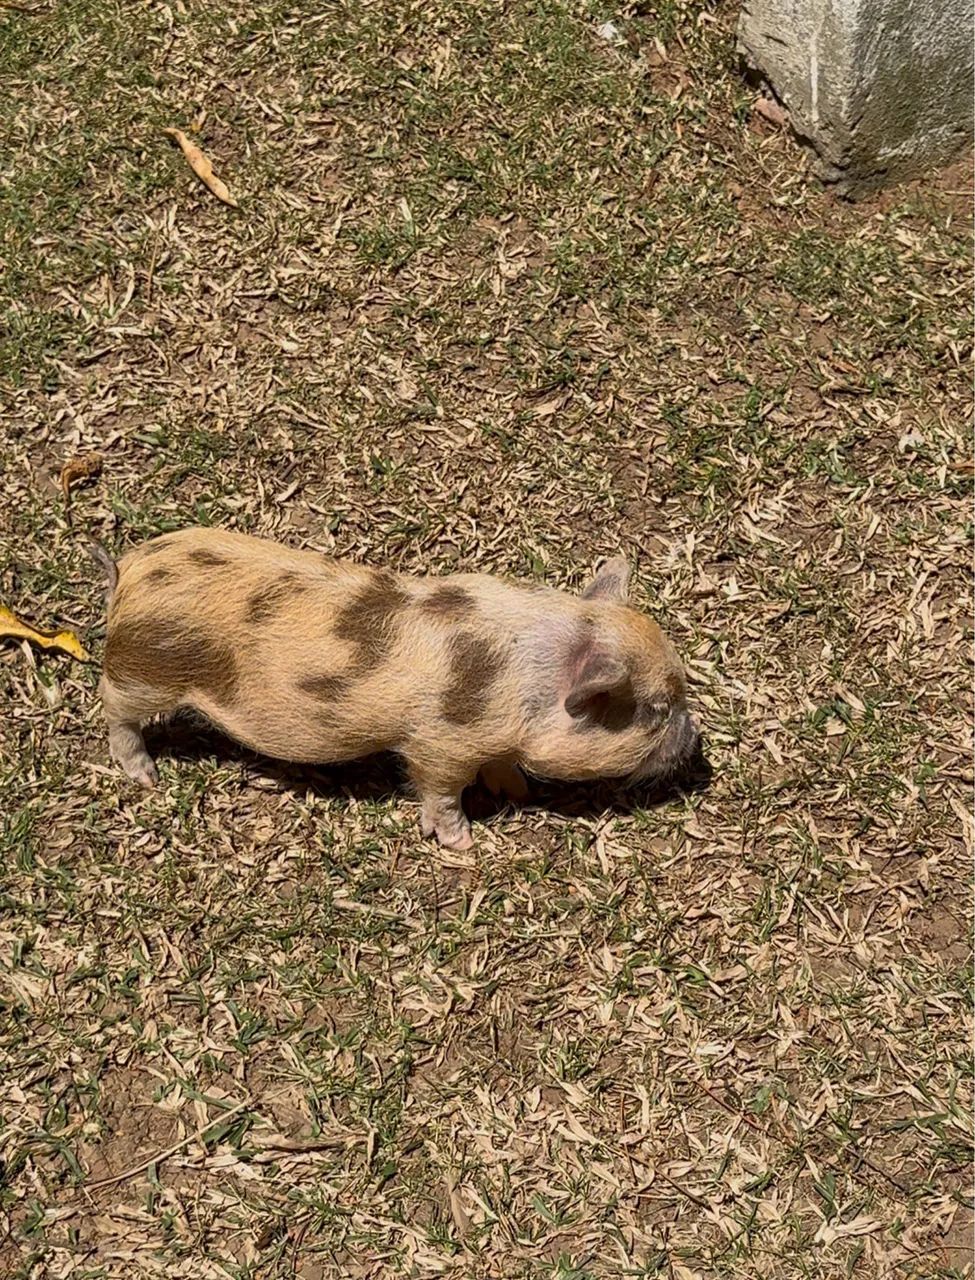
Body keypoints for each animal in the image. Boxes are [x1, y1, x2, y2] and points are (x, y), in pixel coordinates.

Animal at [90, 529, 699, 849]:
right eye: (655, 709)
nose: (696, 743)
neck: (523, 681)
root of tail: (126, 574)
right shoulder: (441, 743)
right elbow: (440, 791)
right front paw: (464, 844)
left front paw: (519, 794)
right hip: (146, 671)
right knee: (112, 707)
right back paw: (146, 776)